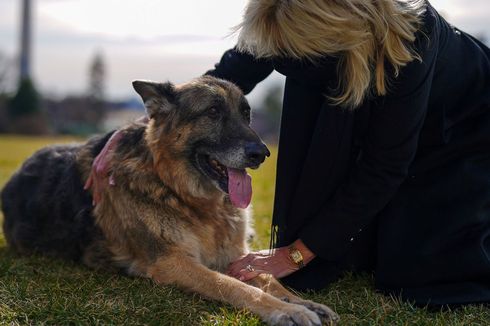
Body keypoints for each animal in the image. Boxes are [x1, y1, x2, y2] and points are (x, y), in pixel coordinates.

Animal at [0, 77, 336, 326]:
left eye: (246, 114)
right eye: (212, 112)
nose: (261, 154)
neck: (180, 192)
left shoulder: (236, 256)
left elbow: (269, 278)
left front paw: (303, 302)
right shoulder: (173, 262)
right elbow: (234, 286)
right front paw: (288, 310)